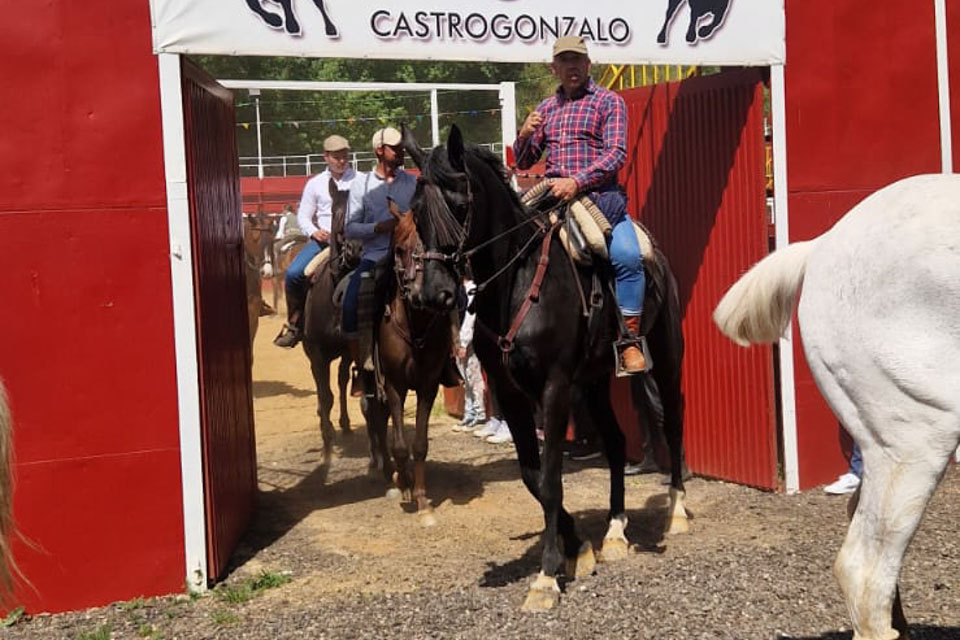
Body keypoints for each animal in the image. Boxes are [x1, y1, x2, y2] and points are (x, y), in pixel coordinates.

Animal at [360, 201, 458, 527]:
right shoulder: (393, 386)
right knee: (375, 416)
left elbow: (419, 445)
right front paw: (403, 486)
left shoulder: (428, 385)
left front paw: (423, 500)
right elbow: (401, 445)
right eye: (400, 248)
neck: (415, 327)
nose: (420, 294)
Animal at [403, 124, 687, 610]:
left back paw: (678, 510)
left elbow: (553, 478)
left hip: (665, 357)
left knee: (672, 421)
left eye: (459, 205)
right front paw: (579, 547)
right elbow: (532, 476)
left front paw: (548, 575)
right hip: (594, 381)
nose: (433, 294)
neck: (516, 283)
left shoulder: (553, 389)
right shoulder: (512, 393)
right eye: (417, 211)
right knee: (615, 442)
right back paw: (615, 530)